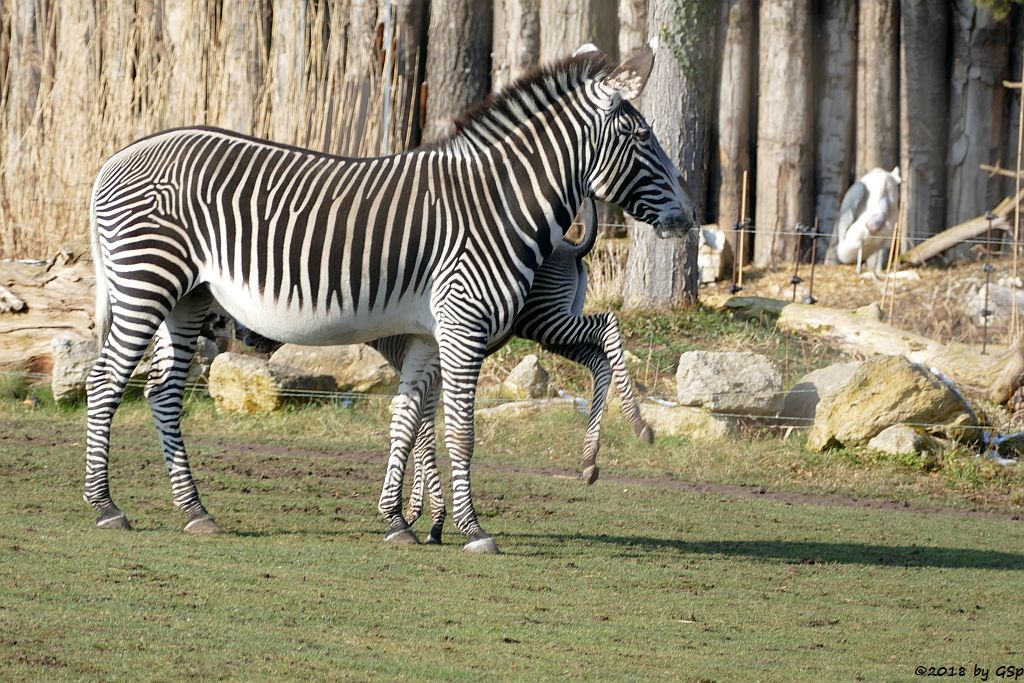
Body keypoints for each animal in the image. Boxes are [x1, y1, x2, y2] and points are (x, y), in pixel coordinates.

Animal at [86, 45, 696, 552]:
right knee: (105, 381)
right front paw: (470, 529)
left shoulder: (428, 335)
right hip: (147, 281)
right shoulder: (463, 324)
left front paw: (403, 521)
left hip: (187, 297)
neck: (497, 204)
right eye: (642, 138)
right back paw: (105, 506)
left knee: (163, 393)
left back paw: (194, 511)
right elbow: (459, 432)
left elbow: (407, 421)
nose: (689, 217)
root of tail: (116, 157)